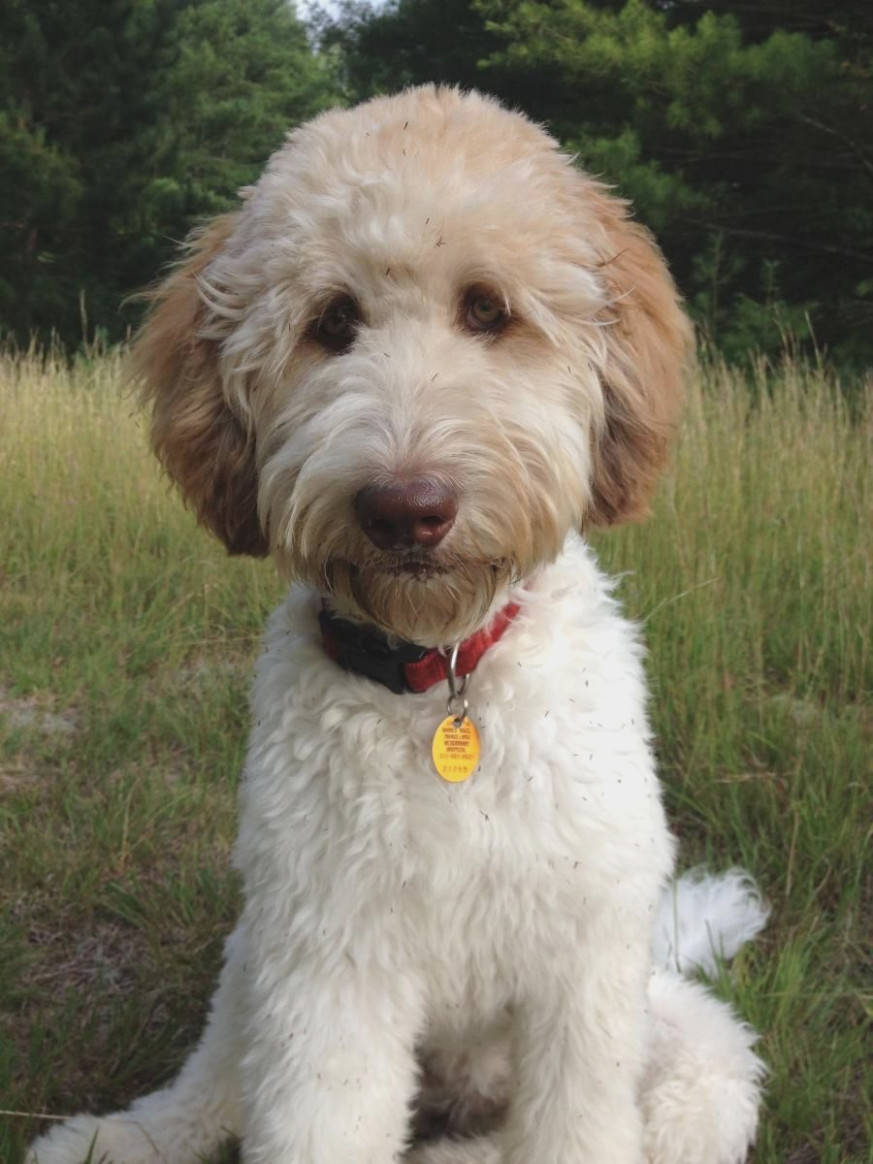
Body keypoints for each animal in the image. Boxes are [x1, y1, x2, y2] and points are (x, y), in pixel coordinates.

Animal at [25, 84, 763, 1164]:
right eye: (332, 321)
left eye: (488, 309)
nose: (406, 508)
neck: (440, 677)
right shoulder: (326, 960)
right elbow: (312, 1117)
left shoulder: (581, 967)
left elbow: (575, 1125)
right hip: (255, 952)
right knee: (216, 1080)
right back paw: (123, 1135)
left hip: (693, 1067)